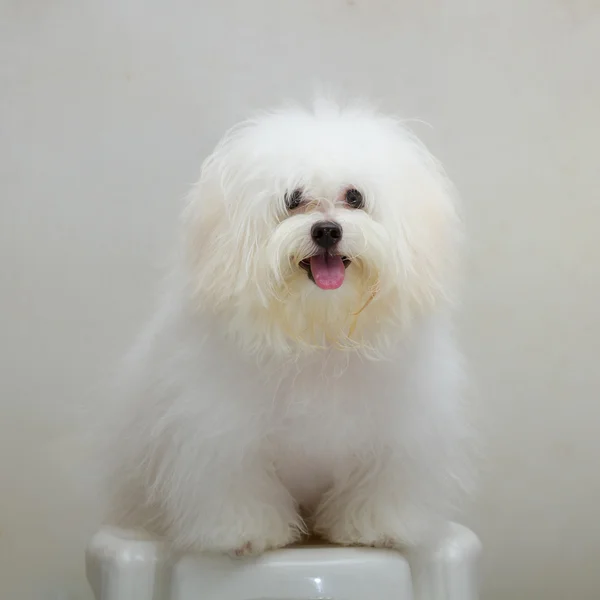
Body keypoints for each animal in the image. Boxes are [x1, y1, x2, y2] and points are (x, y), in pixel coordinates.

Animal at [104, 101, 474, 556]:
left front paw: (374, 529)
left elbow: (382, 482)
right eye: (293, 198)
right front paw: (248, 534)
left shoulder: (400, 435)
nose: (327, 230)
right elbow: (238, 483)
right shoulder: (219, 434)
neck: (320, 329)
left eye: (355, 197)